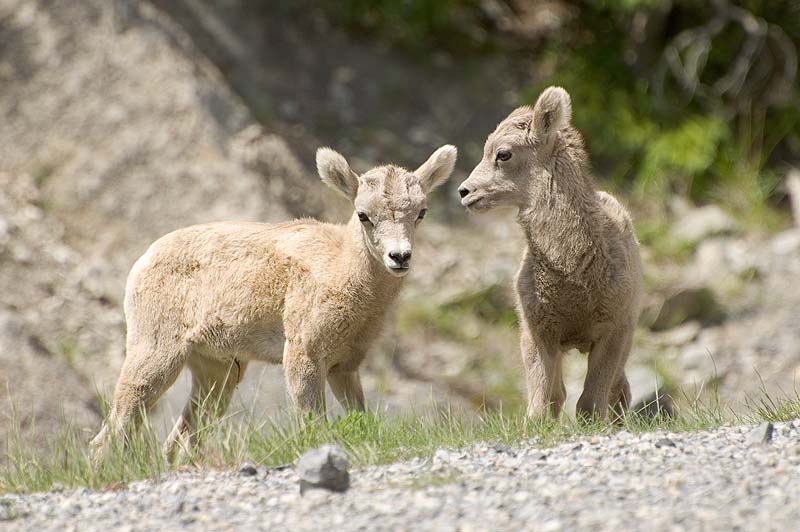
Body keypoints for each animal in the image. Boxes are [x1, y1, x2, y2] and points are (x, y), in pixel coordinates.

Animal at [91, 143, 456, 460]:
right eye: (363, 215)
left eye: (421, 212)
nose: (400, 257)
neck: (342, 271)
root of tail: (143, 261)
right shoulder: (303, 356)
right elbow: (313, 426)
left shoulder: (345, 366)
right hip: (156, 354)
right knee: (113, 429)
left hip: (217, 372)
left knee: (177, 440)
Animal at [456, 86, 644, 420]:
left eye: (503, 153)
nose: (465, 192)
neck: (573, 272)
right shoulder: (538, 334)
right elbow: (543, 402)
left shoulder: (613, 333)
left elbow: (590, 404)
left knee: (618, 390)